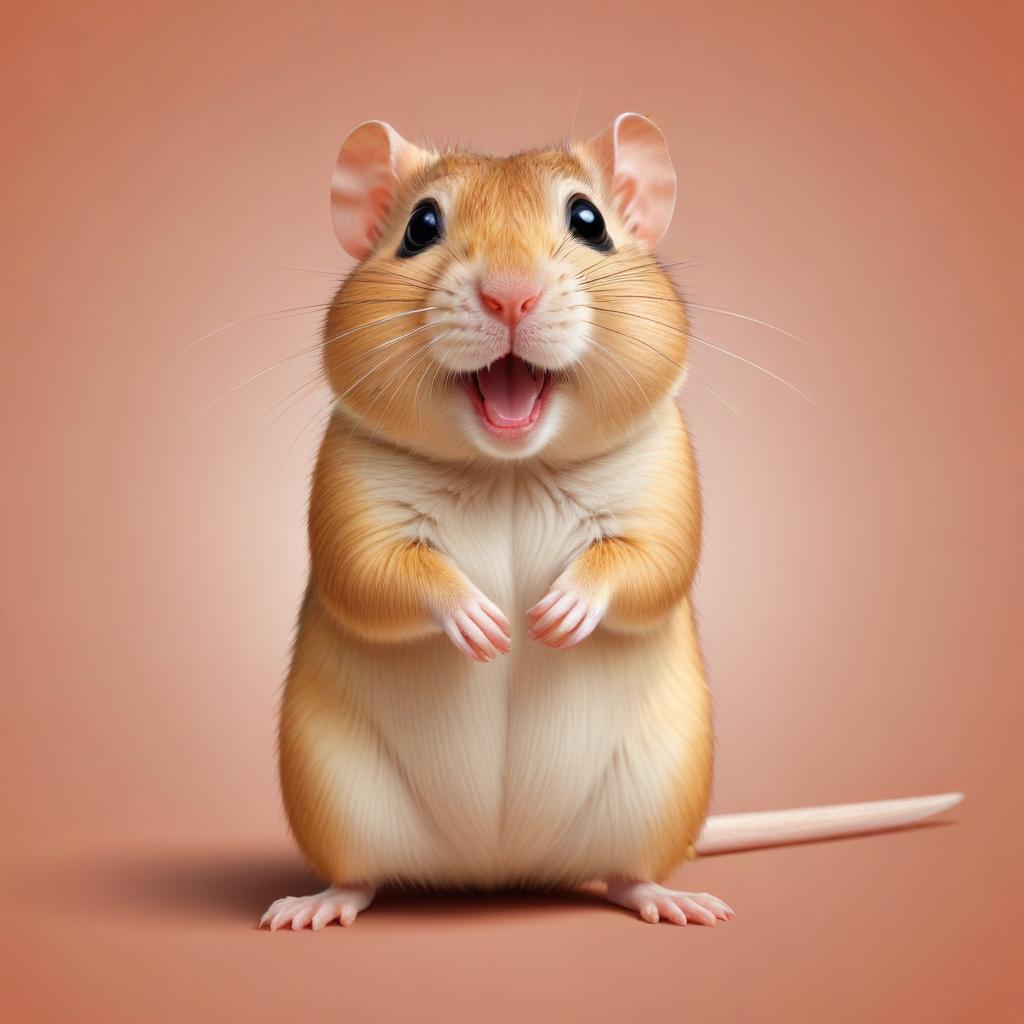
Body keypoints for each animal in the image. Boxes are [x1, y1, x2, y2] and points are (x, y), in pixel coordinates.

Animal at [259, 114, 962, 931]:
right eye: (420, 226)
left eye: (589, 222)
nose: (511, 298)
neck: (510, 468)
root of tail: (499, 870)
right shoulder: (350, 494)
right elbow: (374, 575)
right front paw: (485, 623)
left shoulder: (663, 486)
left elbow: (648, 563)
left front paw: (556, 615)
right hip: (334, 795)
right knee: (361, 875)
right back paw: (318, 904)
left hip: (657, 794)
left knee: (627, 872)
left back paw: (669, 898)